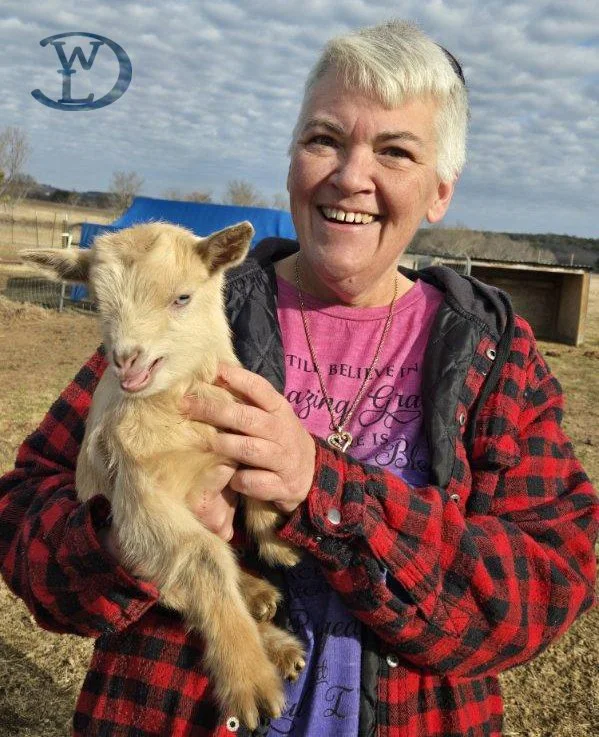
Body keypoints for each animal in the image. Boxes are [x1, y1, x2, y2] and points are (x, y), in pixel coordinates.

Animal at [21, 221, 305, 729]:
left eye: (182, 298)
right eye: (98, 302)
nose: (126, 359)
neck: (177, 404)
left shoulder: (238, 420)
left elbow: (261, 469)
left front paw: (278, 542)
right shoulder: (139, 500)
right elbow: (204, 557)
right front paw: (251, 682)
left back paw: (261, 600)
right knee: (183, 588)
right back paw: (270, 632)